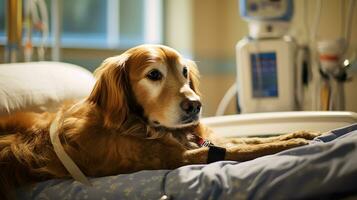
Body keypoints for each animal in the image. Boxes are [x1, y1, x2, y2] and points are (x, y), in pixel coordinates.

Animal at [0, 44, 318, 198]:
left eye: (185, 72)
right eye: (154, 74)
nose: (195, 105)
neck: (141, 125)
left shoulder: (198, 141)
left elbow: (246, 139)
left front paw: (300, 132)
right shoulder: (177, 158)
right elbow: (243, 149)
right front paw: (294, 144)